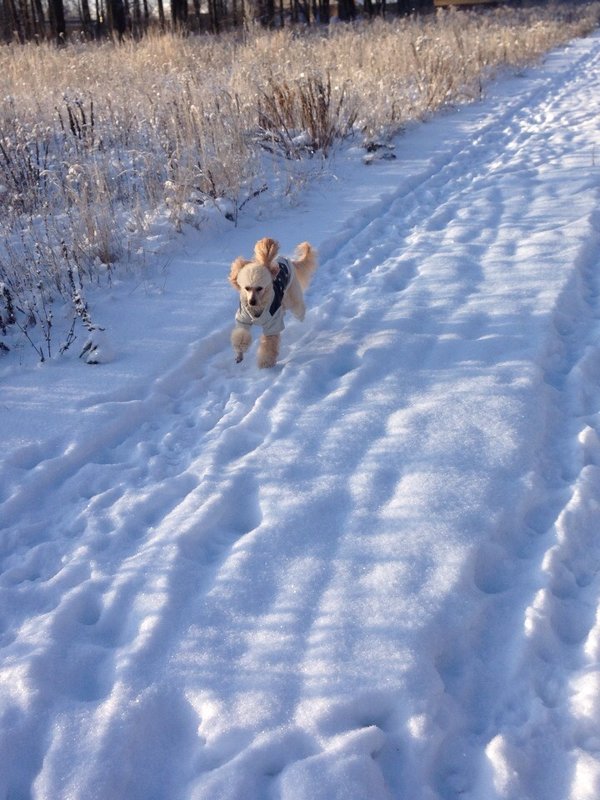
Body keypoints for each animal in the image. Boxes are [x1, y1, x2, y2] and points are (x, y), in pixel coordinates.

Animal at [227, 234, 316, 368]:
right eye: (247, 288)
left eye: (260, 288)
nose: (251, 302)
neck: (258, 307)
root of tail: (287, 259)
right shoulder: (243, 319)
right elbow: (241, 335)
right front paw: (239, 353)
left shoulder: (273, 323)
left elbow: (269, 344)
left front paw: (265, 363)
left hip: (291, 293)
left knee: (297, 306)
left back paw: (301, 316)